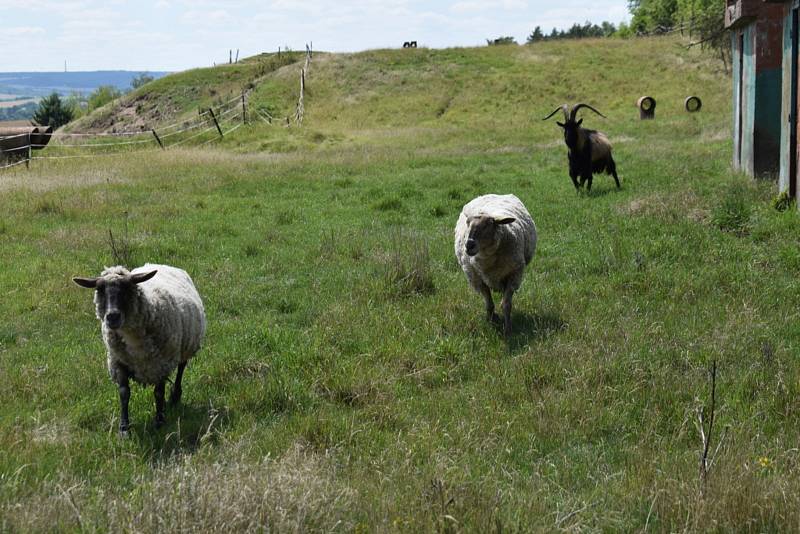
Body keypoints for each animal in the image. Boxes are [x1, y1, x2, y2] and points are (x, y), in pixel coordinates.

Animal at [72, 264, 206, 436]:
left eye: (126, 289)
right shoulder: (118, 362)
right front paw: (124, 428)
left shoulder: (160, 364)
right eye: (100, 290)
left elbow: (158, 393)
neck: (132, 338)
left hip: (186, 345)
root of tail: (161, 264)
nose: (112, 317)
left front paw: (159, 421)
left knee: (181, 368)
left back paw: (175, 396)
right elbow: (124, 393)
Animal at [456, 194, 536, 336]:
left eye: (488, 225)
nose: (469, 245)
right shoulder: (478, 279)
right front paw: (490, 321)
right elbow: (489, 304)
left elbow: (506, 304)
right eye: (467, 223)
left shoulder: (514, 275)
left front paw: (508, 329)